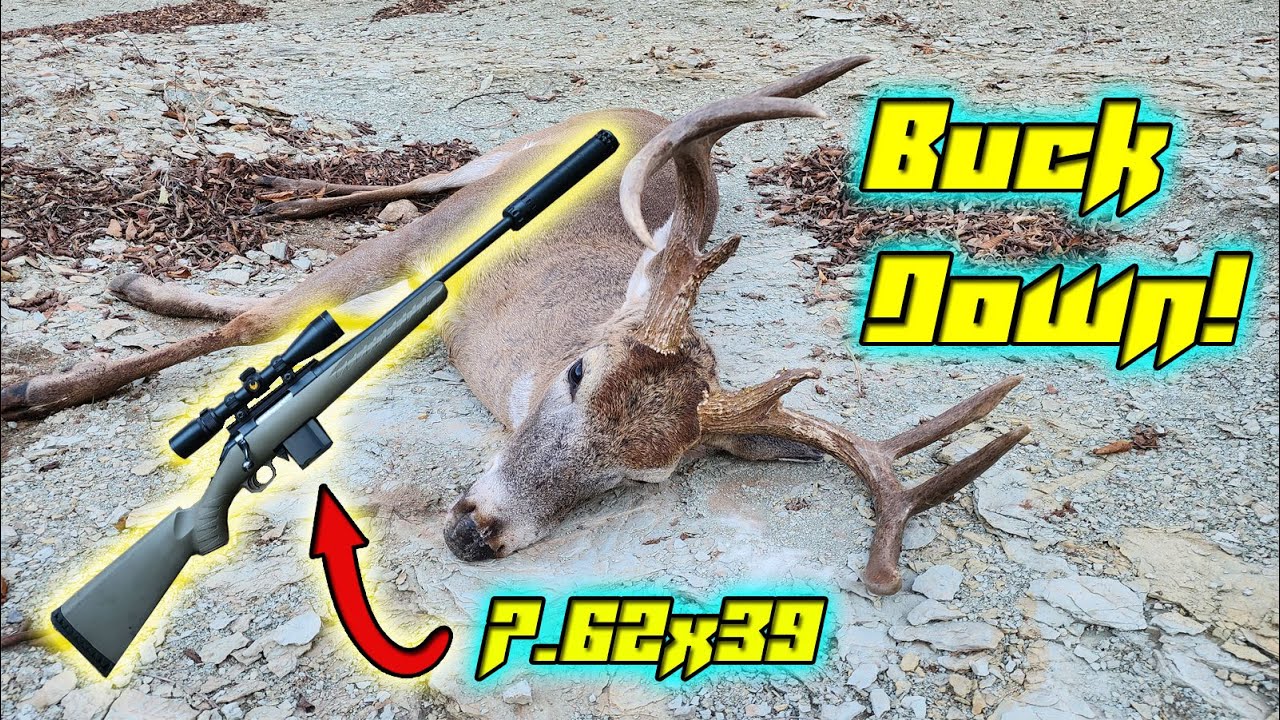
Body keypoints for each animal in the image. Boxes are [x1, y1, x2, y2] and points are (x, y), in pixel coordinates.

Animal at [0, 56, 1029, 595]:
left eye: (644, 477)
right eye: (577, 375)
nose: (476, 531)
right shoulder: (432, 252)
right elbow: (259, 318)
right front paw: (36, 383)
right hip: (488, 166)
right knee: (405, 184)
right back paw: (278, 200)